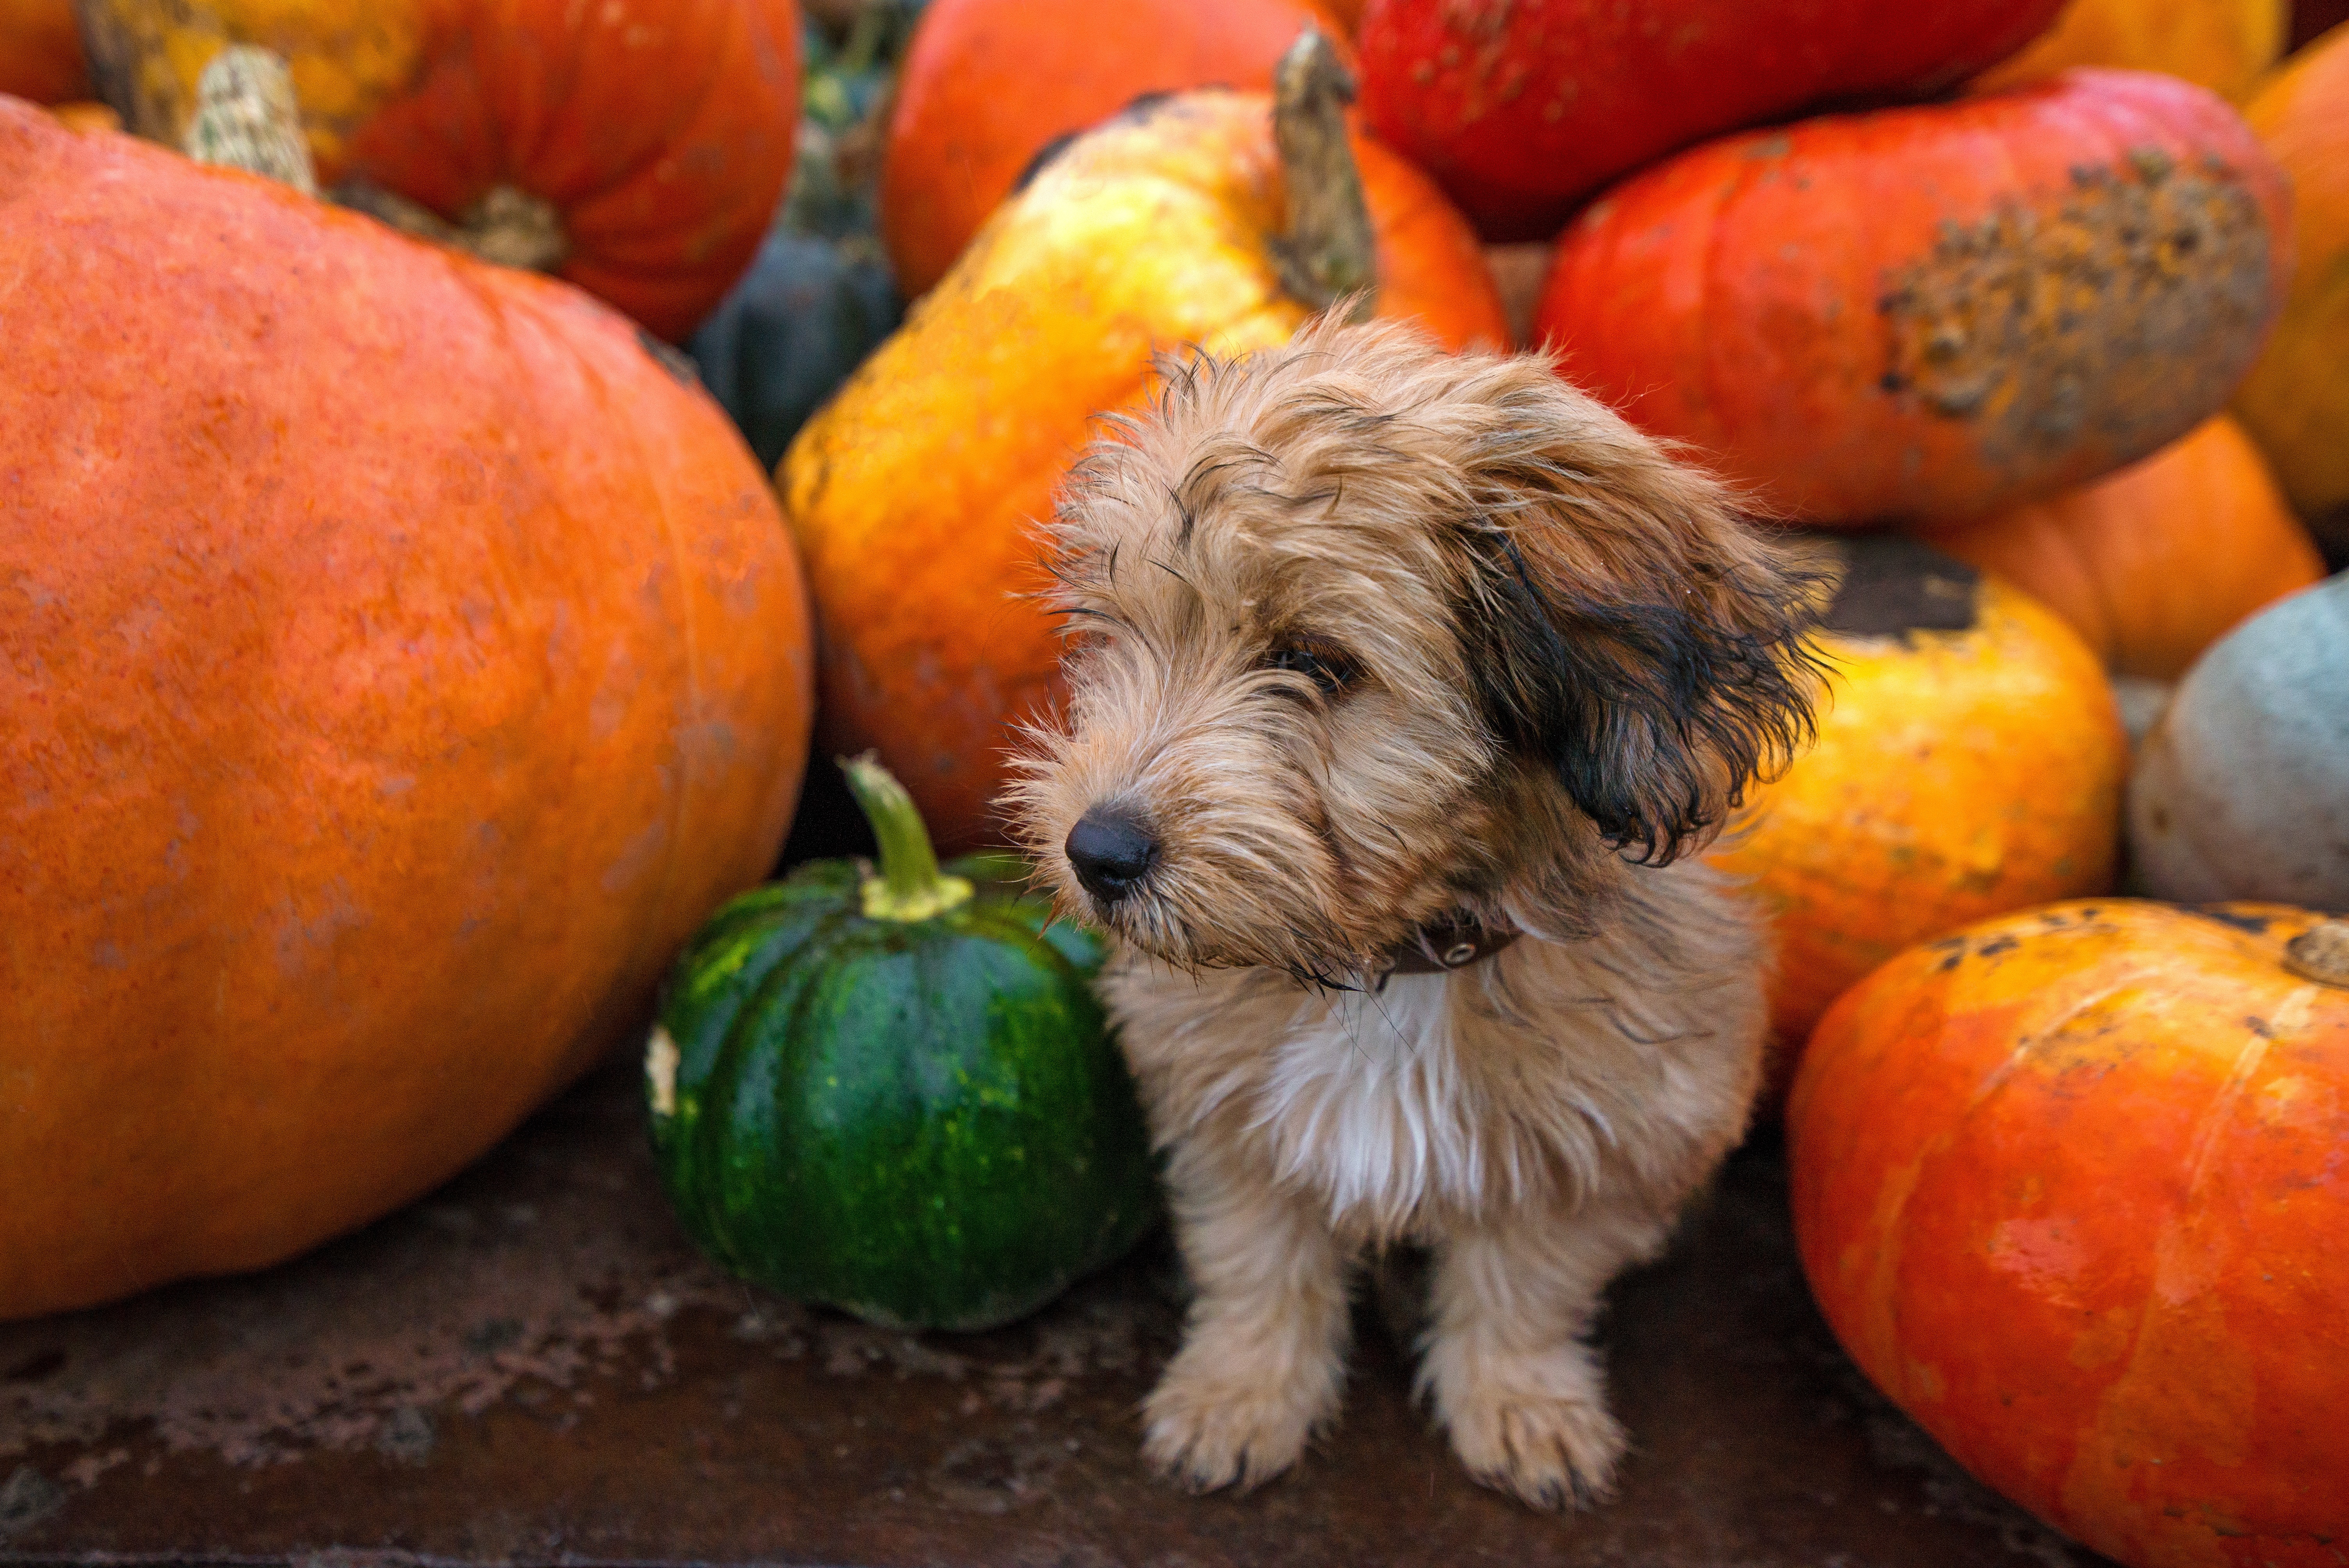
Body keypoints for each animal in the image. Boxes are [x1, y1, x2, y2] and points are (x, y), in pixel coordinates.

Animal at [1000, 319, 1823, 1502]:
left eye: (1313, 660)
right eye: (1118, 636)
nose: (1096, 851)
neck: (1395, 963)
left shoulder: (1600, 1131)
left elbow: (1523, 1284)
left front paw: (1521, 1408)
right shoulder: (1220, 1109)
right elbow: (1258, 1262)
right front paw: (1237, 1397)